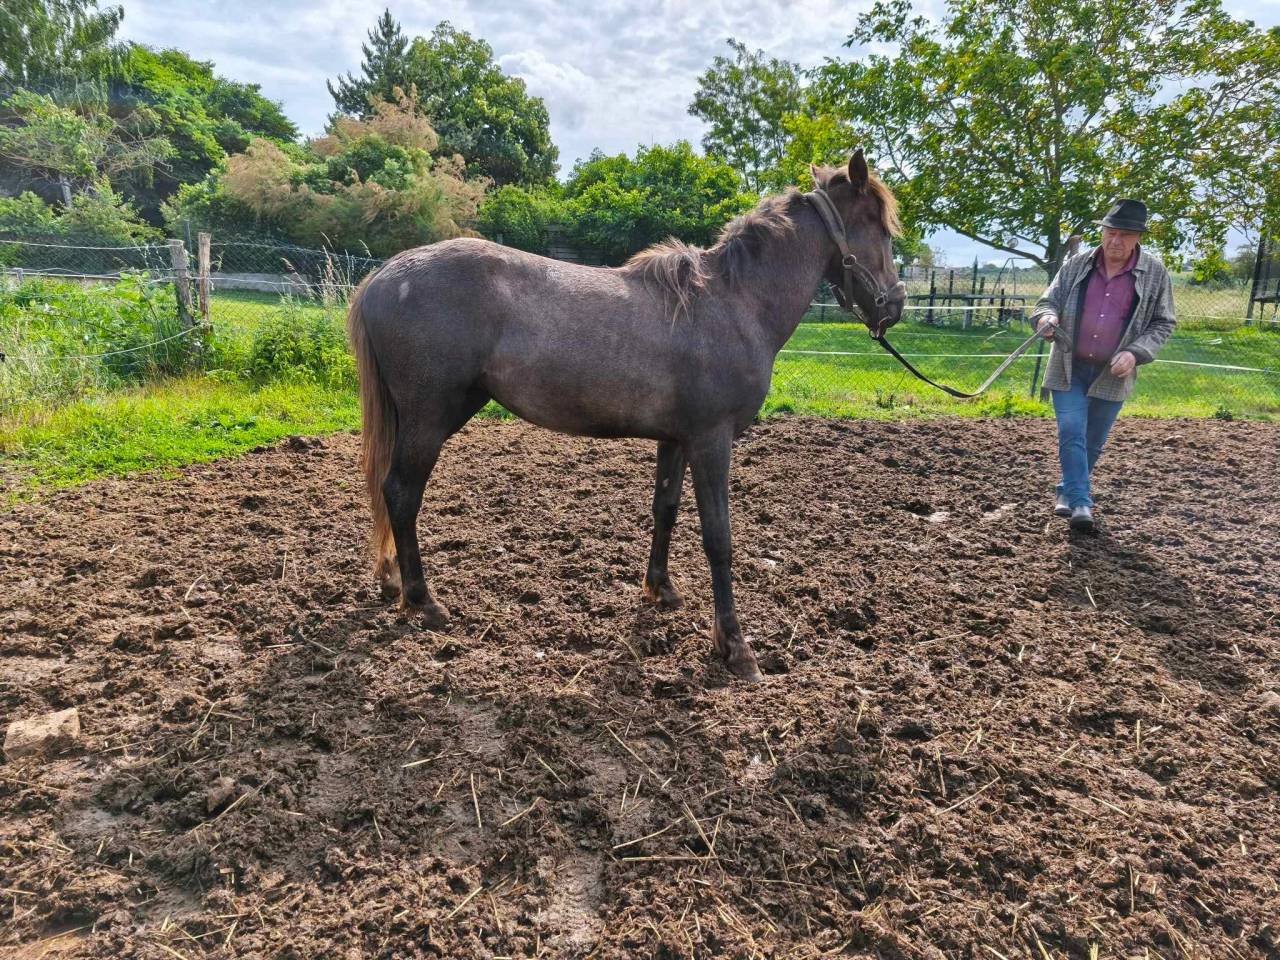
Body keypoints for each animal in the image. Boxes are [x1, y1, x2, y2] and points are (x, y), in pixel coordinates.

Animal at [346, 149, 906, 682]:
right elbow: (718, 536)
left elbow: (666, 510)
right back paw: (423, 600)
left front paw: (661, 589)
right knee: (401, 493)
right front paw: (735, 646)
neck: (732, 302)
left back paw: (395, 582)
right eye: (878, 225)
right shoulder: (711, 440)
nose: (895, 306)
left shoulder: (676, 439)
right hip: (430, 418)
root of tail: (382, 278)